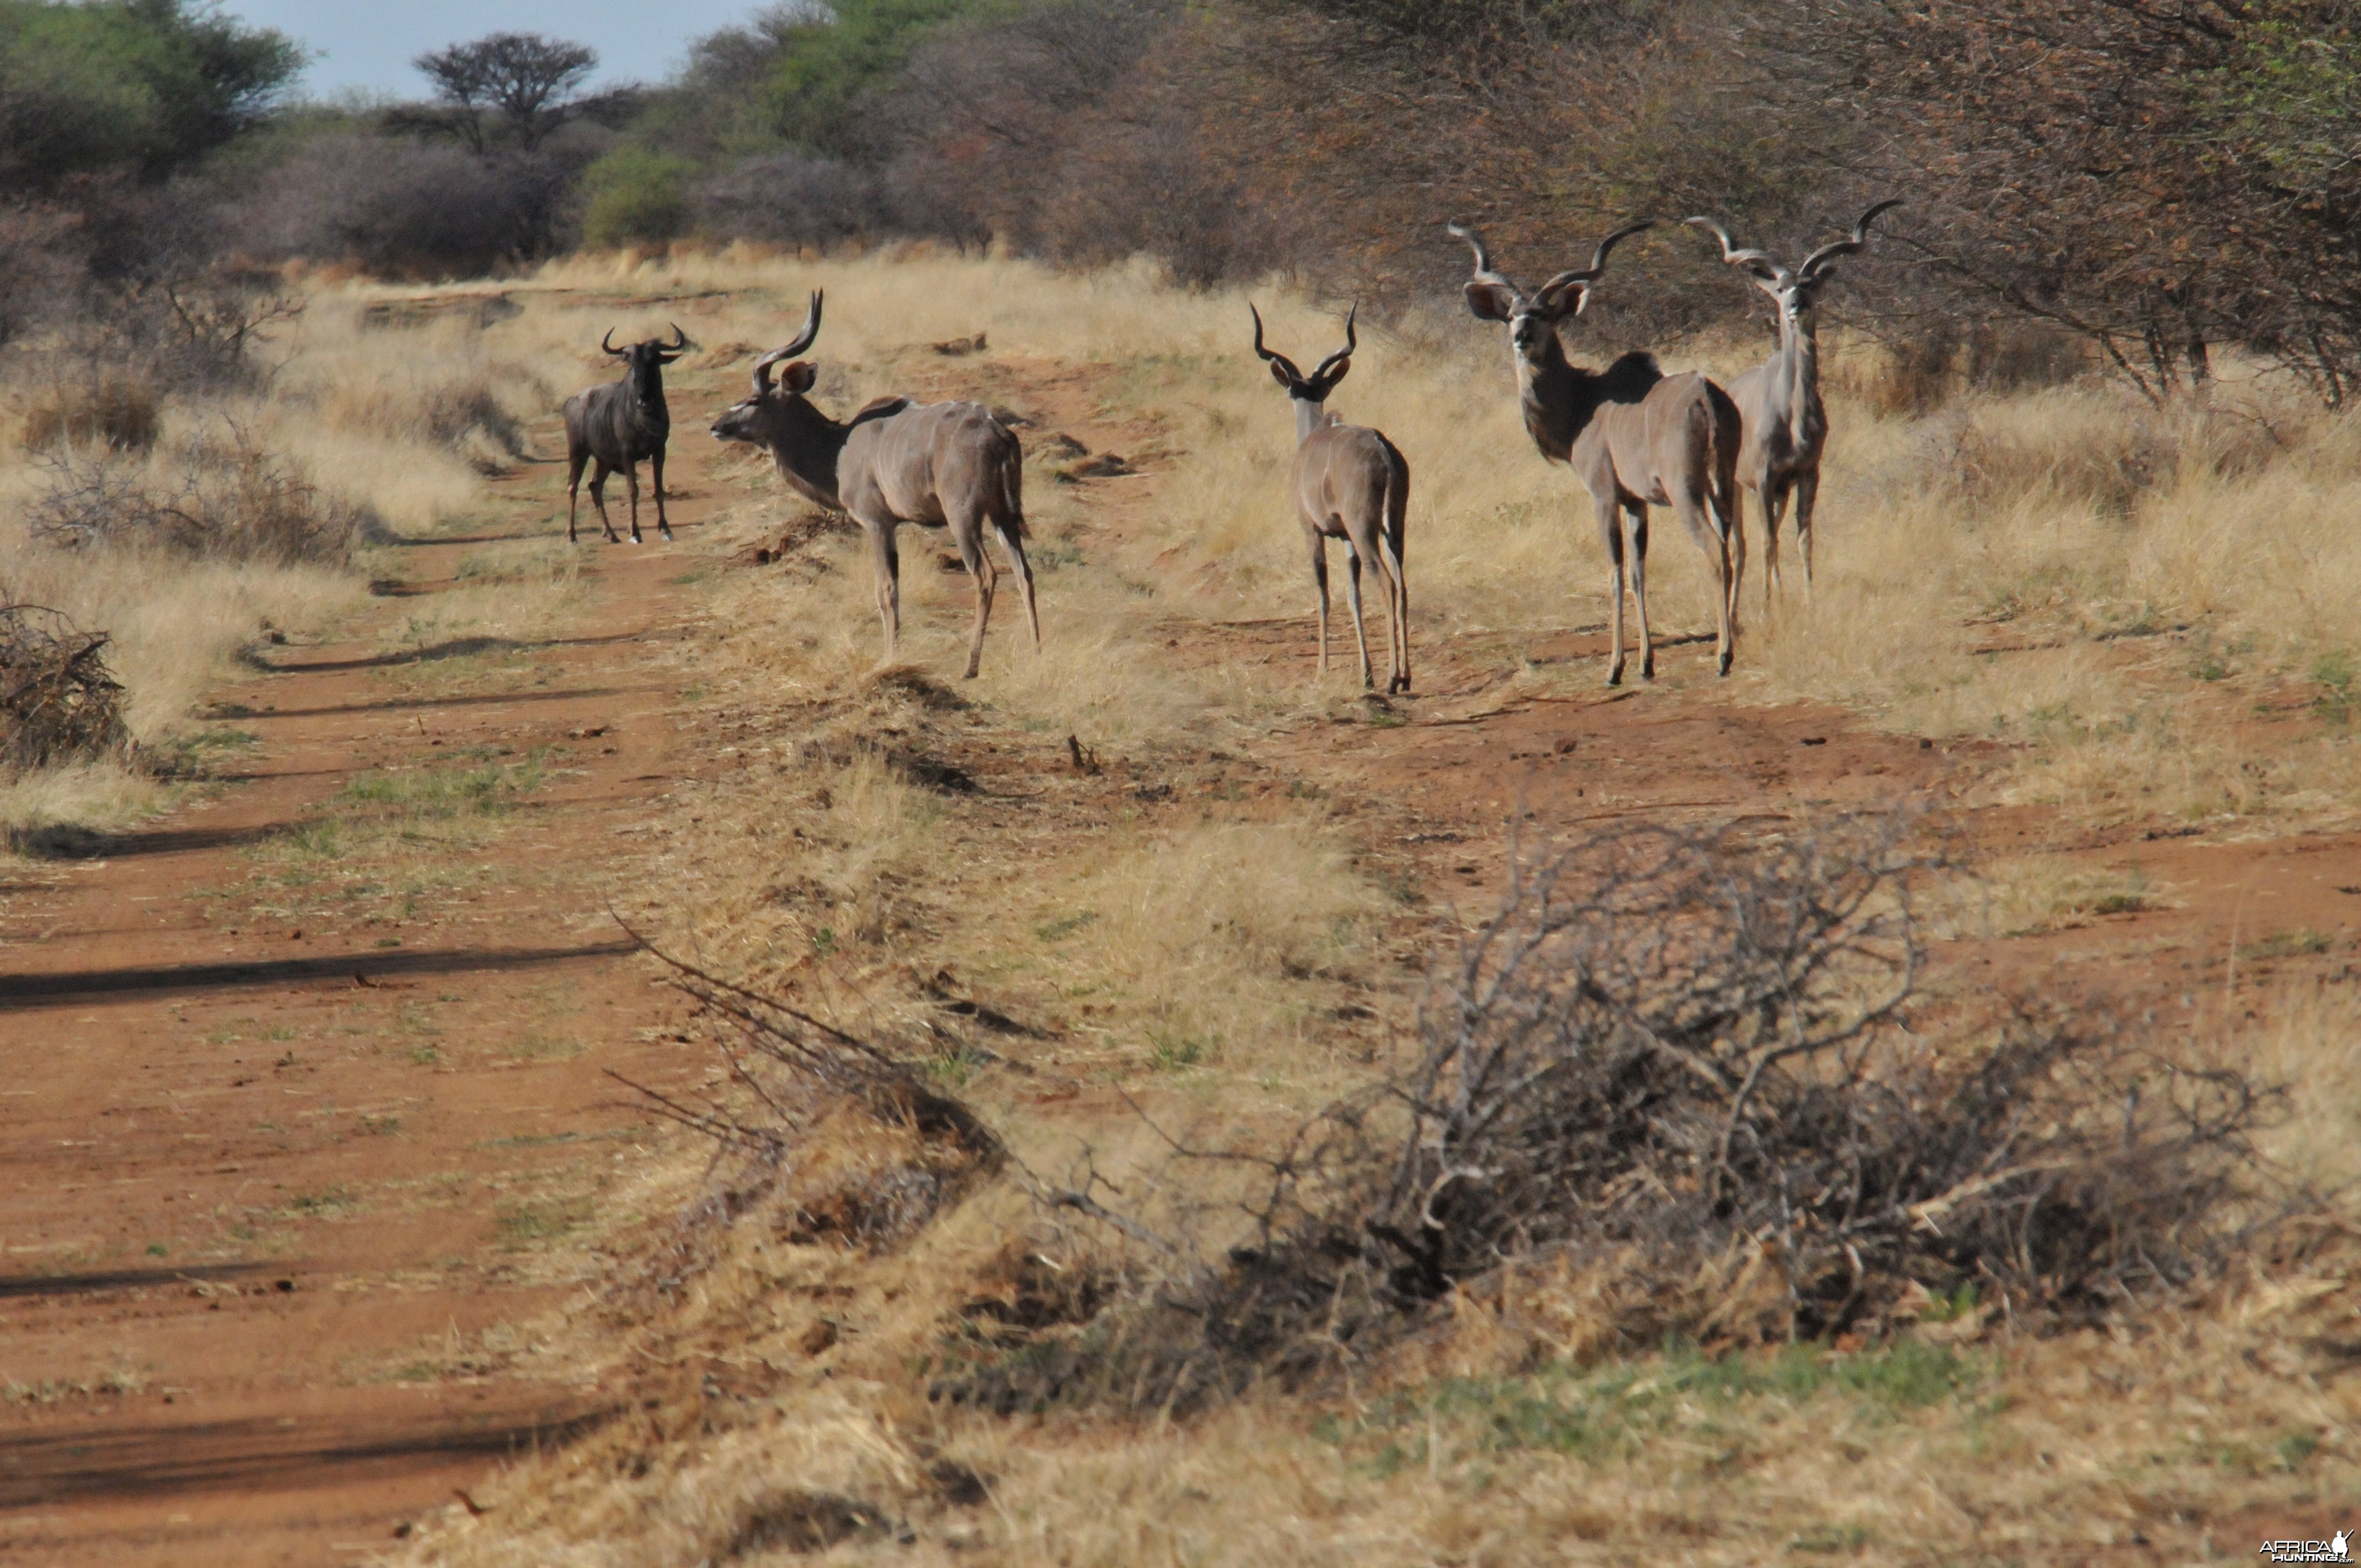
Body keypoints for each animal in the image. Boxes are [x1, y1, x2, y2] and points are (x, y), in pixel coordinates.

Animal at [699, 294, 1034, 680]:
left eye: (753, 400)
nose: (716, 426)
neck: (838, 447)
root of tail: (999, 433)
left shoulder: (877, 523)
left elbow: (886, 590)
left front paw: (890, 657)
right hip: (1002, 517)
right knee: (1025, 574)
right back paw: (1037, 651)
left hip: (963, 517)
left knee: (986, 575)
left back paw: (970, 667)